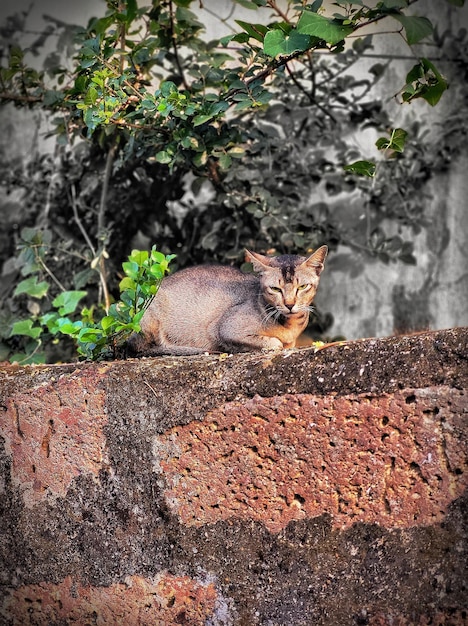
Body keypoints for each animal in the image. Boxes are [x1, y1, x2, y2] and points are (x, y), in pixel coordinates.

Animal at [126, 245, 328, 356]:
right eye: (275, 289)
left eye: (302, 287)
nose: (290, 305)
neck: (290, 325)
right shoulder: (224, 329)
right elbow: (275, 343)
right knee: (141, 347)